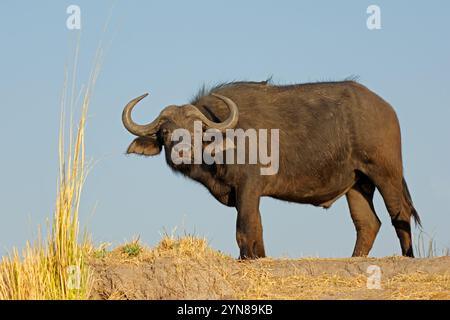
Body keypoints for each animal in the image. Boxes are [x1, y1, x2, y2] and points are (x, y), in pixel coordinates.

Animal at [121, 80, 420, 260]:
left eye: (197, 131)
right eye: (165, 132)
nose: (181, 153)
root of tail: (385, 108)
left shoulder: (248, 187)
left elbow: (245, 228)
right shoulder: (250, 195)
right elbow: (258, 228)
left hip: (386, 174)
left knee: (399, 214)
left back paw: (408, 256)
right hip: (357, 184)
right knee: (368, 223)